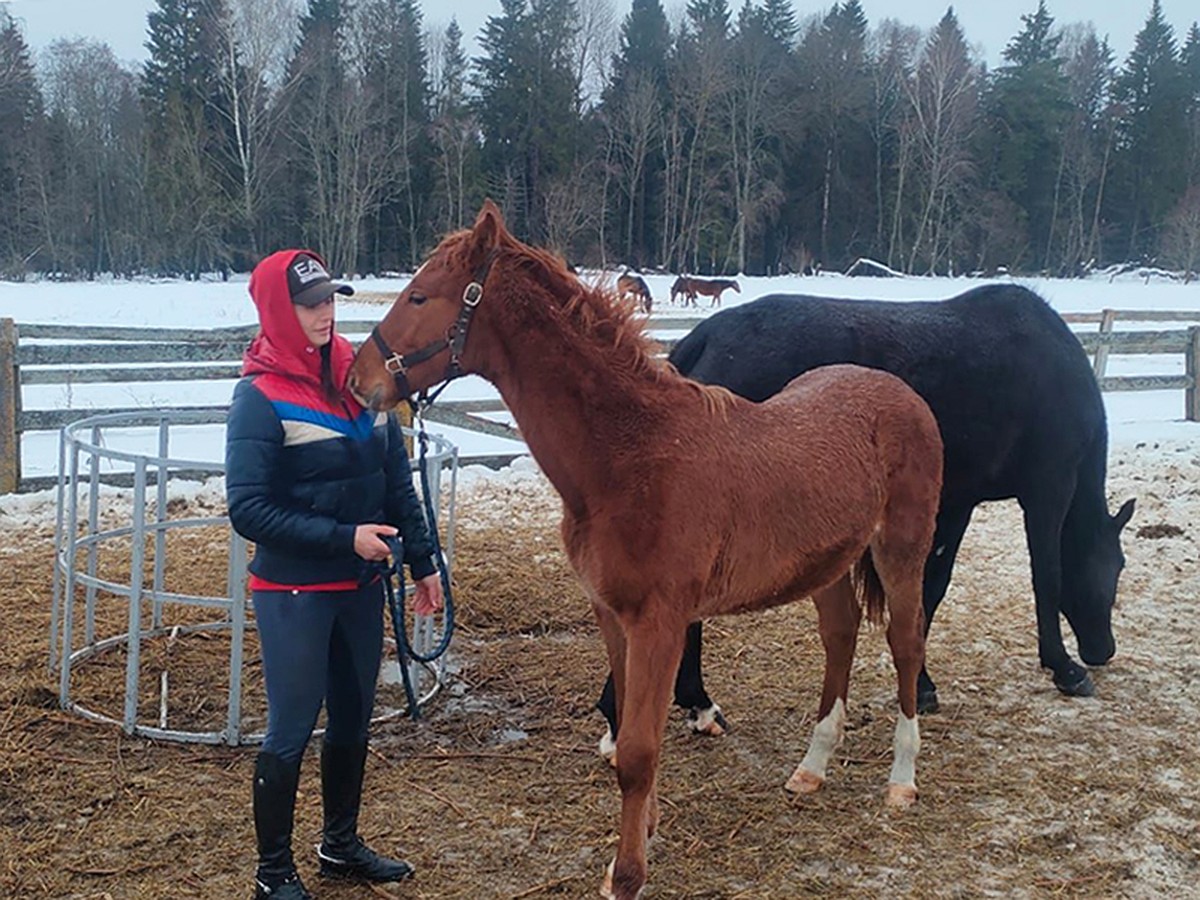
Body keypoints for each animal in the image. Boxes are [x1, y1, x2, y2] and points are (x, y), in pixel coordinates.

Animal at [348, 202, 945, 900]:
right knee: (841, 635)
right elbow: (635, 731)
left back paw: (902, 780)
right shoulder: (614, 614)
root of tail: (901, 394)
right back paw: (812, 767)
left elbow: (636, 750)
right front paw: (644, 838)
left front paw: (628, 874)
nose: (357, 381)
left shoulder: (659, 620)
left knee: (906, 641)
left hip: (901, 549)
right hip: (828, 562)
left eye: (419, 295)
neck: (631, 458)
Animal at [597, 285, 1132, 758]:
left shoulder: (956, 502)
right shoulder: (1047, 490)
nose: (1102, 649)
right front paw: (1063, 667)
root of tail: (706, 337)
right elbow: (1048, 577)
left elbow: (931, 590)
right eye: (1117, 568)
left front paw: (922, 683)